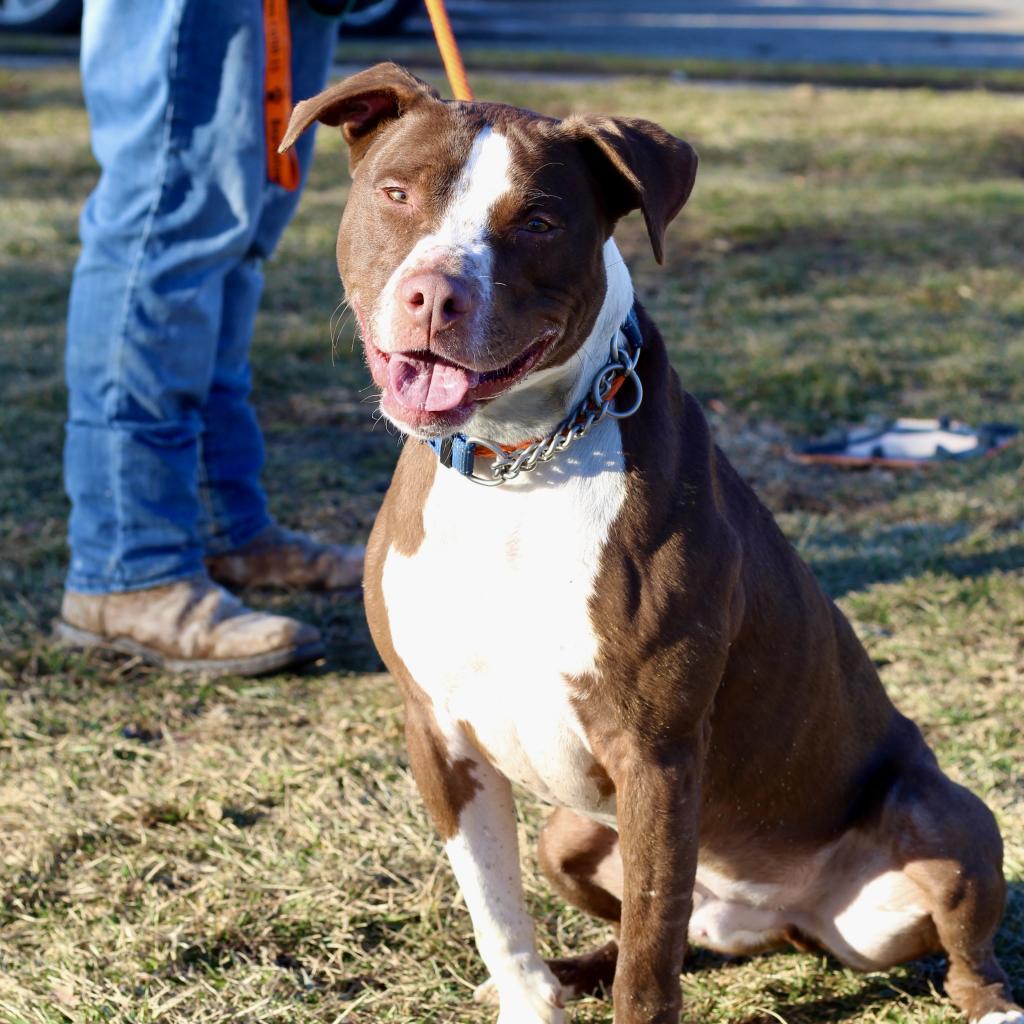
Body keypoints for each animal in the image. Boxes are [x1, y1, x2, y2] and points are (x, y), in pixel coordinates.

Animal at [282, 66, 1024, 1024]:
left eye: (539, 221)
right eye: (398, 193)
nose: (436, 293)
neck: (515, 465)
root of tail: (776, 917)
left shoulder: (656, 754)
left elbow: (649, 967)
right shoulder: (439, 733)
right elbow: (497, 911)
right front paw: (531, 996)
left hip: (941, 816)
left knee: (955, 942)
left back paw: (992, 1002)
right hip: (572, 836)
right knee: (658, 928)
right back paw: (578, 969)